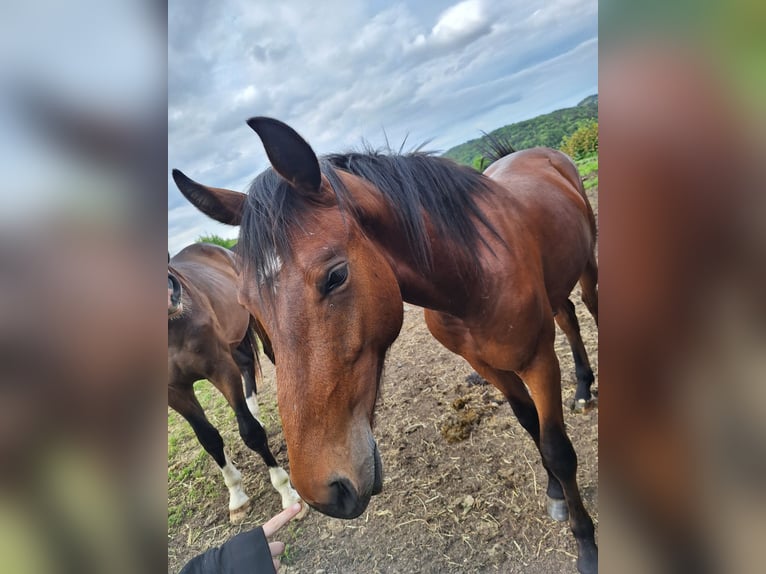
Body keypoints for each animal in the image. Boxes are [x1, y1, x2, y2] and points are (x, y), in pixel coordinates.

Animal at [168, 243, 304, 528]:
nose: (169, 294)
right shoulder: (175, 391)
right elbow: (209, 440)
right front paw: (237, 497)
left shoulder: (220, 368)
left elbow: (251, 433)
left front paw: (287, 494)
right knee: (246, 365)